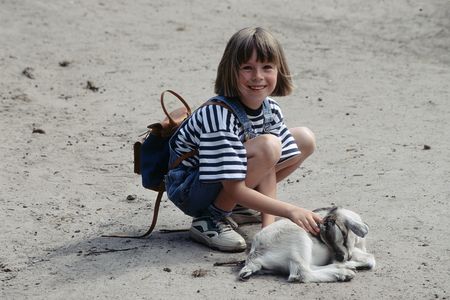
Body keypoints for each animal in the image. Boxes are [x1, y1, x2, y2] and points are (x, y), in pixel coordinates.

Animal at [239, 207, 376, 282]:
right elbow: (371, 259)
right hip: (299, 239)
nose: (340, 258)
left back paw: (344, 268)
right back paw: (344, 273)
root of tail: (253, 257)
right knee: (301, 274)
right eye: (343, 234)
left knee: (309, 267)